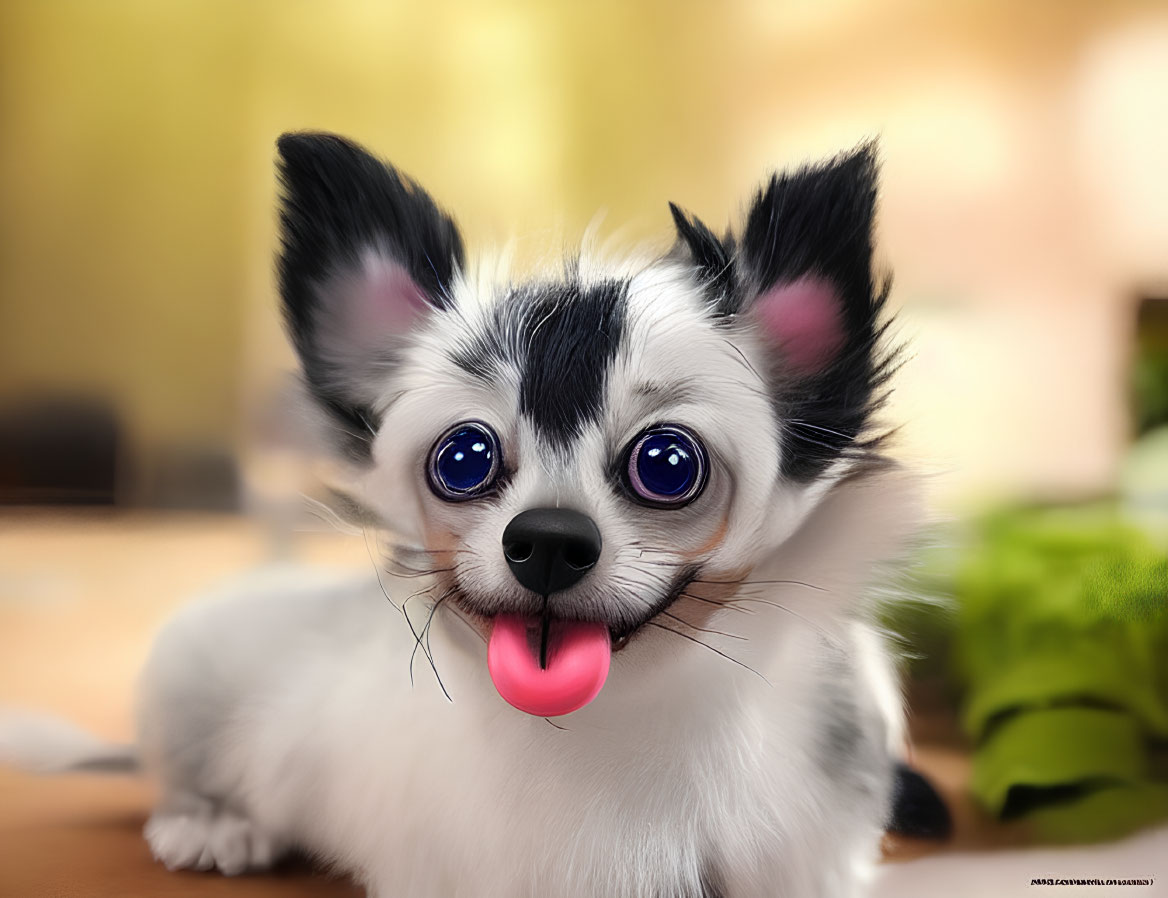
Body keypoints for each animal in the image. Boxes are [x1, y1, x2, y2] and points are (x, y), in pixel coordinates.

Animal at [0, 133, 943, 896]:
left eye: (668, 465)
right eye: (464, 460)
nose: (549, 541)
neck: (608, 721)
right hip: (184, 680)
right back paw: (211, 823)